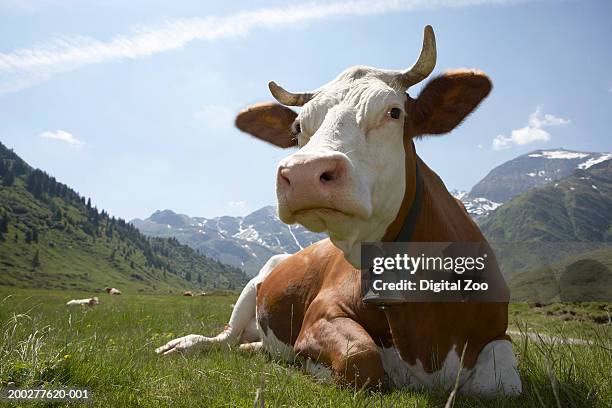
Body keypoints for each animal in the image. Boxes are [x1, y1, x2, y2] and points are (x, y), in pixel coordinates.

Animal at [154, 25, 520, 396]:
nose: (303, 173)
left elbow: (503, 382)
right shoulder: (322, 312)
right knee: (223, 338)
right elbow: (361, 357)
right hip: (252, 287)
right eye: (298, 128)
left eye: (394, 112)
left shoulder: (498, 336)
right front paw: (309, 365)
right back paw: (185, 344)